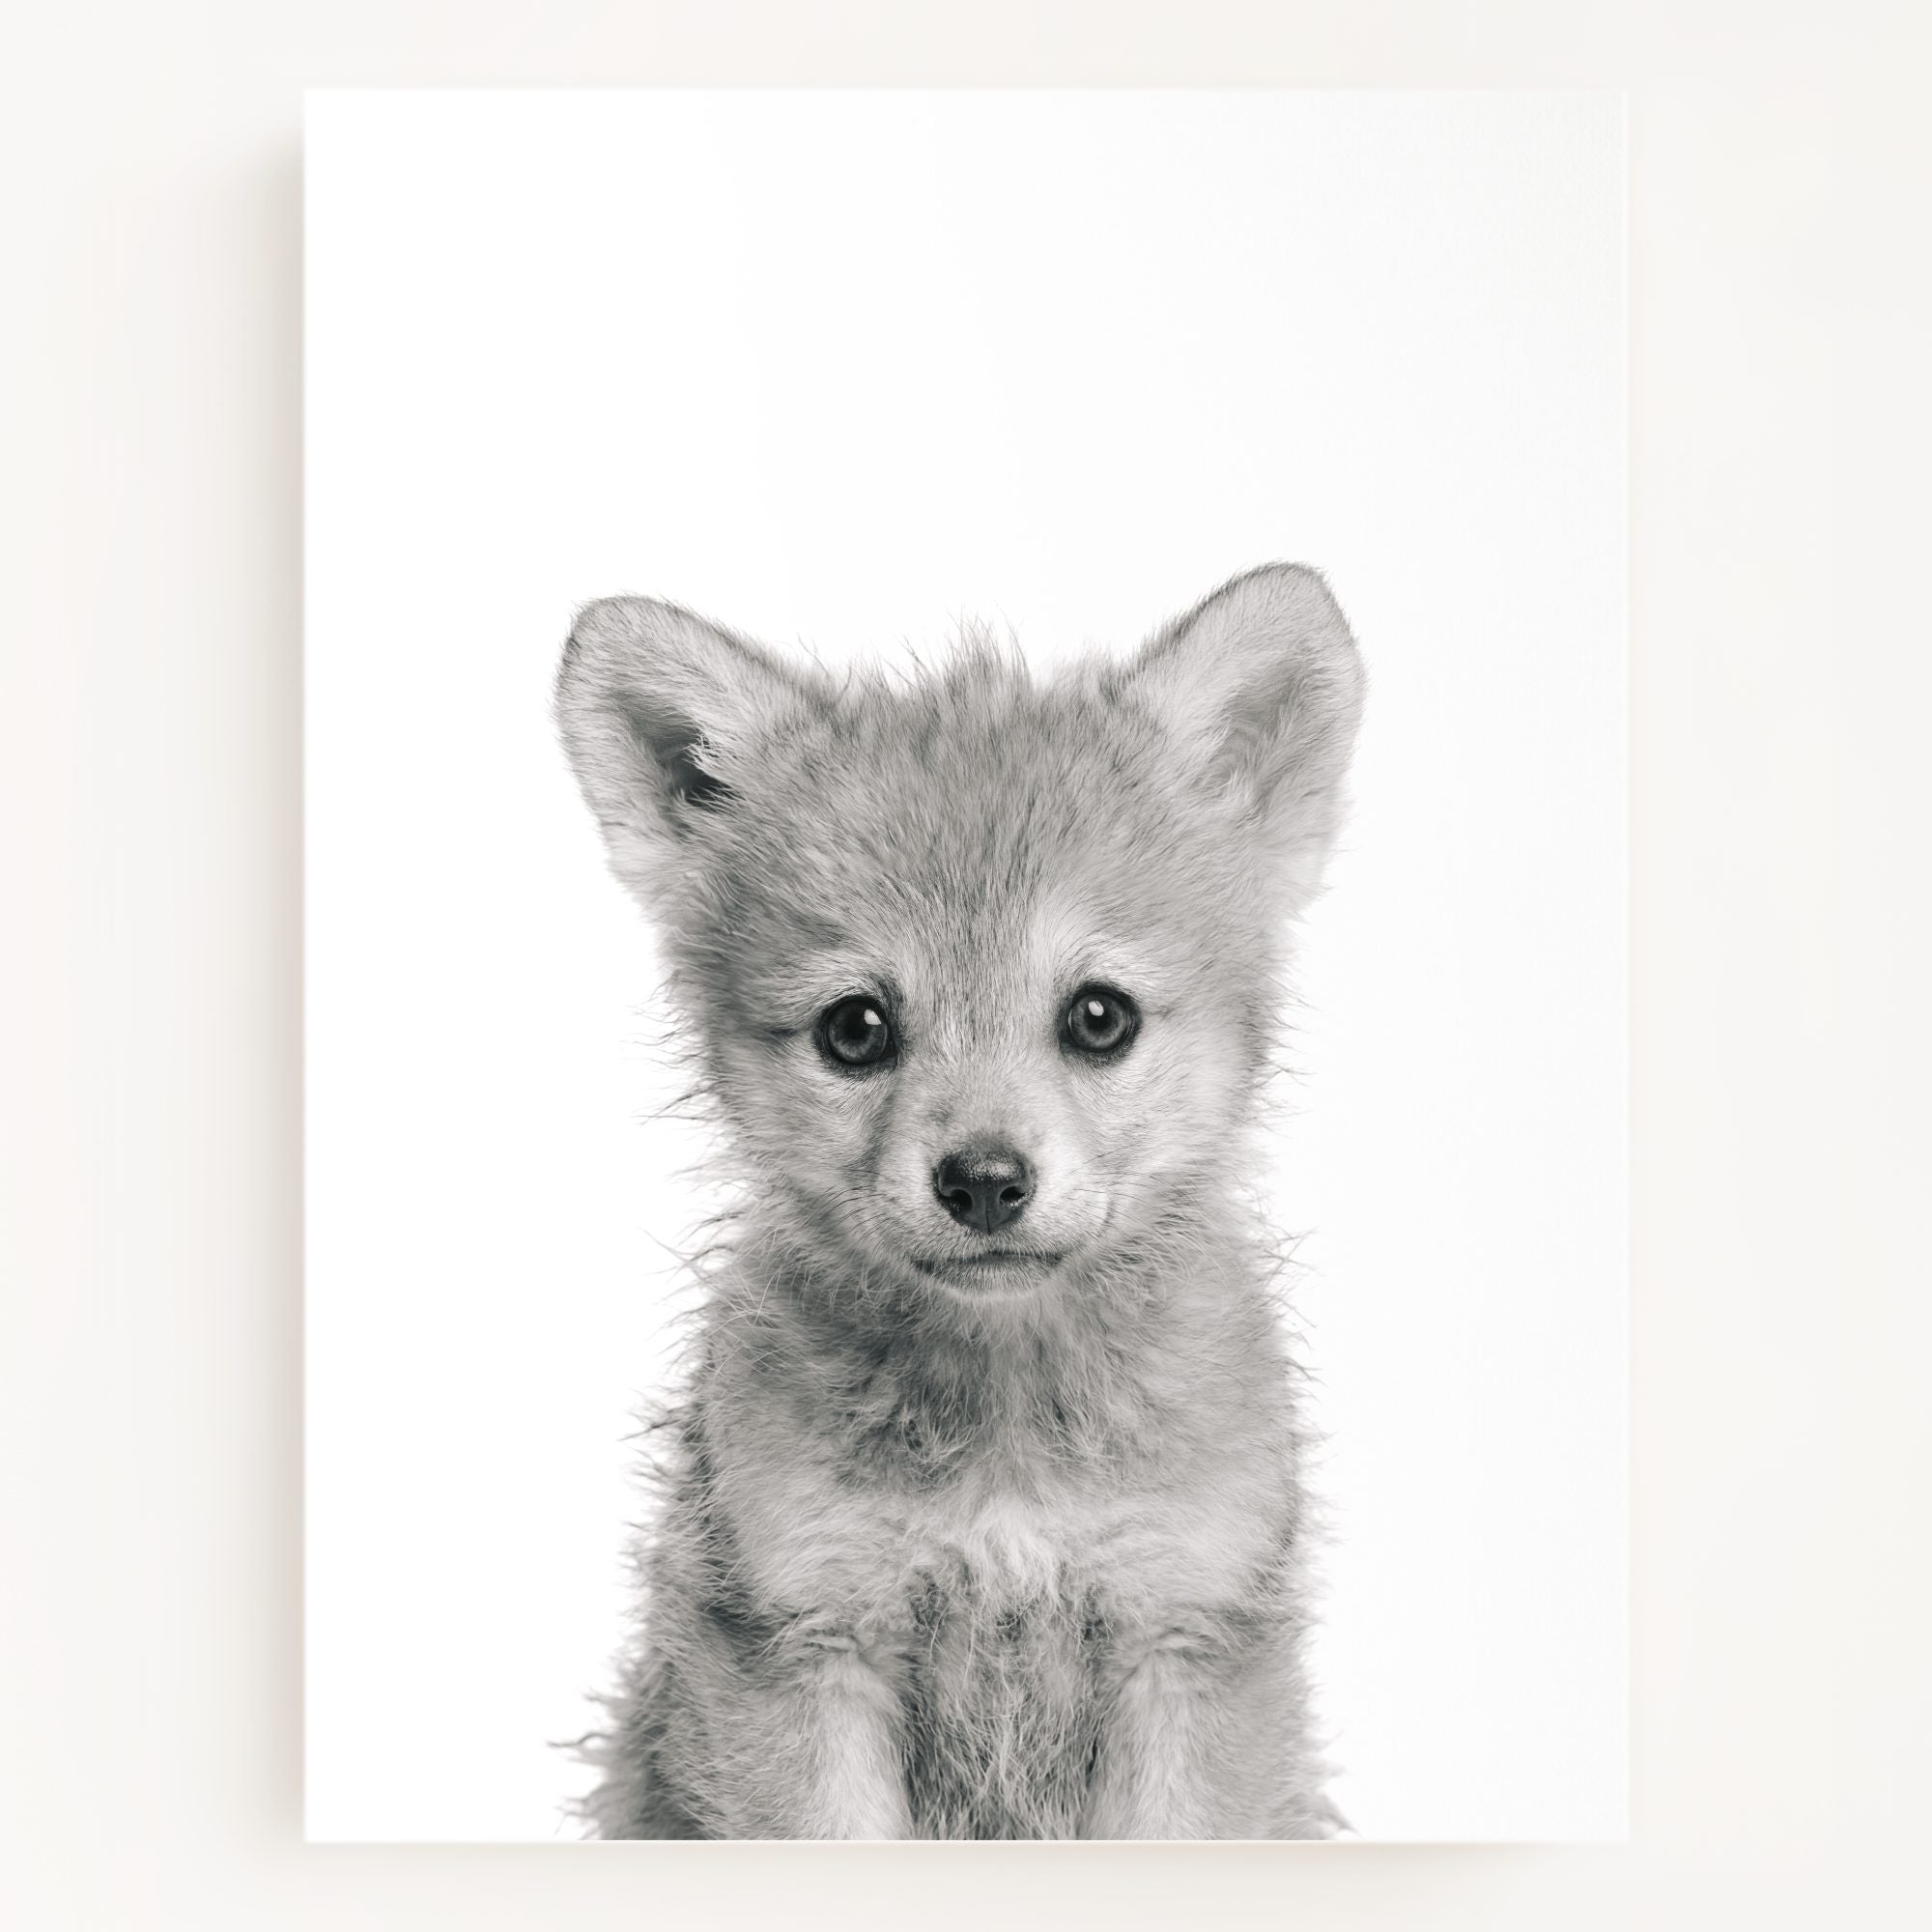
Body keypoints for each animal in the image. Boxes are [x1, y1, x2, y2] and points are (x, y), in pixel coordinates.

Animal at [554, 563, 1365, 1839]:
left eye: (1098, 1015)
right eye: (854, 1027)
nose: (983, 1181)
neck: (1007, 1438)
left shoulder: (1182, 1633)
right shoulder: (803, 1640)